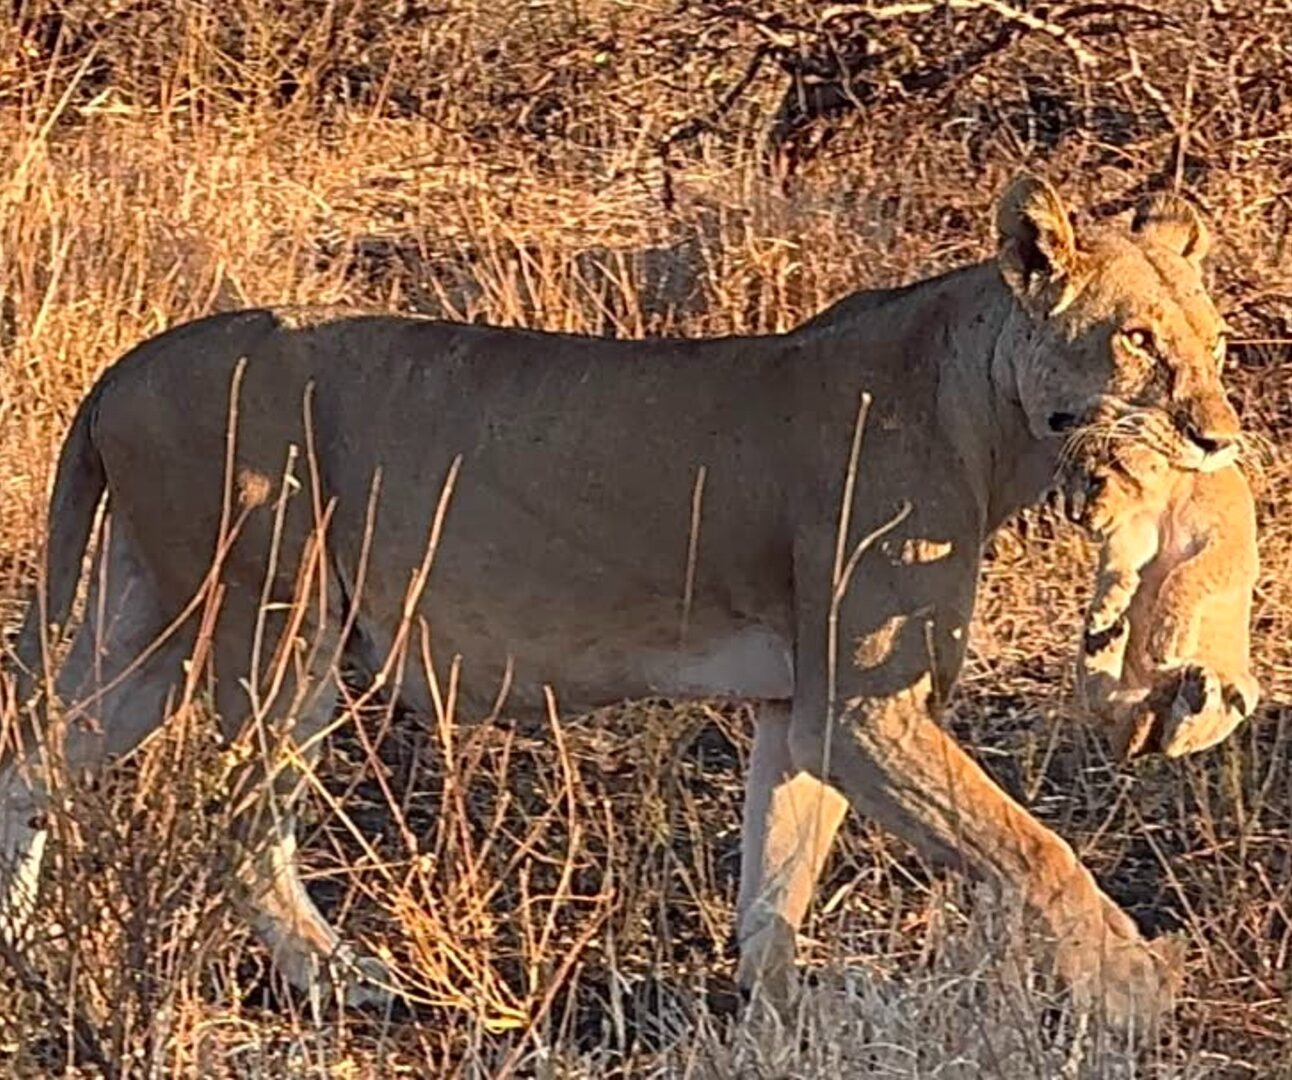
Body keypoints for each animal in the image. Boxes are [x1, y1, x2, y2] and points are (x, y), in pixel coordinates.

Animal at [1064, 418, 1259, 760]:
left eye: (1096, 480)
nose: (1074, 517)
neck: (1173, 489)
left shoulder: (1234, 546)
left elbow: (1187, 573)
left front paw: (1168, 639)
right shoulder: (1138, 529)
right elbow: (1119, 561)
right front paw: (1109, 602)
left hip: (1246, 690)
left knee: (1175, 741)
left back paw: (1193, 693)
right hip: (1108, 700)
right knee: (1102, 701)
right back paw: (1104, 638)